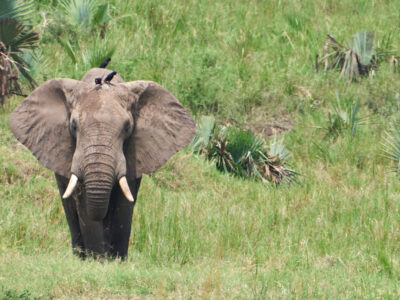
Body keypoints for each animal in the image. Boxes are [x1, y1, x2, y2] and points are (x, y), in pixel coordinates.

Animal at [8, 67, 196, 258]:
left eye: (127, 127)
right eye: (73, 126)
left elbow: (123, 203)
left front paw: (117, 259)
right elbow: (84, 205)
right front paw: (98, 259)